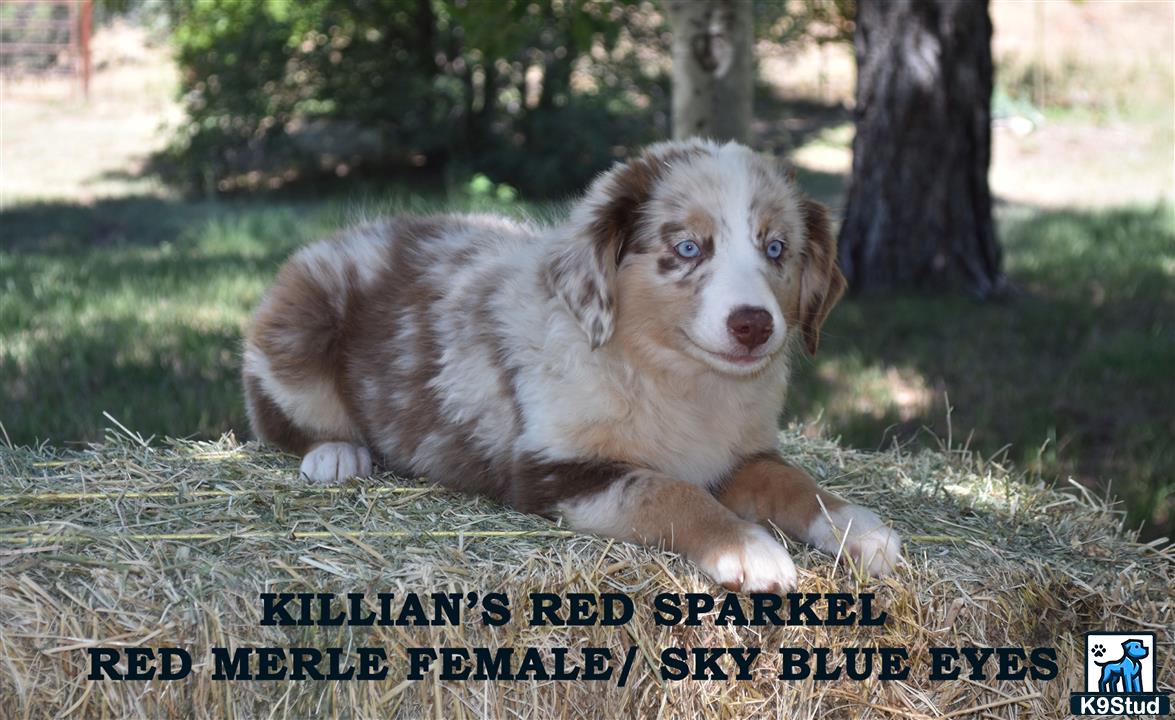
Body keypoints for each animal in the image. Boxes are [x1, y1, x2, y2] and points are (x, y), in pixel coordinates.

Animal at [243, 137, 902, 587]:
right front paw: (750, 548)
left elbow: (794, 481)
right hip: (296, 325)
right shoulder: (554, 470)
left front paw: (858, 527)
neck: (672, 376)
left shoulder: (742, 453)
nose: (754, 326)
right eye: (688, 248)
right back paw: (335, 454)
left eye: (776, 248)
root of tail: (340, 237)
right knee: (274, 415)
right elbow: (667, 491)